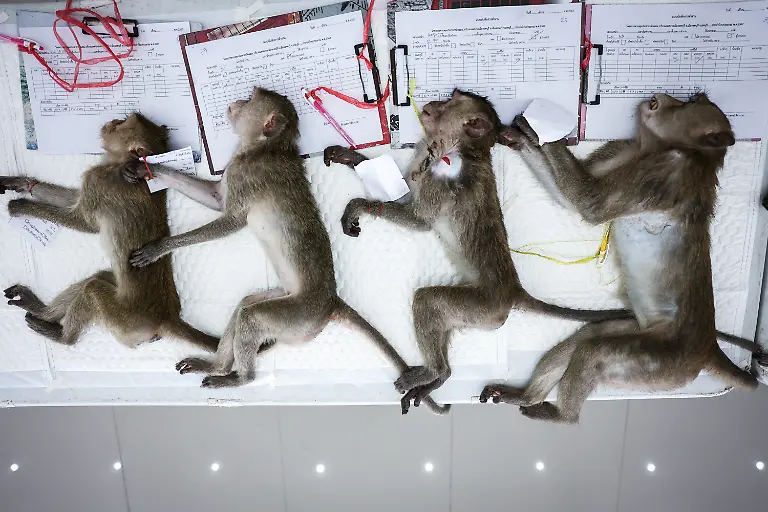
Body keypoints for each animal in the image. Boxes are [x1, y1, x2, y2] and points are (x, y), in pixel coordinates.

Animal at [1, 113, 218, 352]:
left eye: (123, 123)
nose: (111, 122)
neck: (120, 162)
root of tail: (166, 318)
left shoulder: (98, 180)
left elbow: (84, 223)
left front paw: (22, 208)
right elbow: (73, 199)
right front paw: (23, 184)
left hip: (125, 321)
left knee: (92, 288)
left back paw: (62, 336)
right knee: (98, 277)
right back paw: (42, 311)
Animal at [122, 87, 450, 415]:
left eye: (251, 99)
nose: (236, 102)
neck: (264, 148)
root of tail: (331, 302)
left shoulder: (246, 177)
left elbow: (230, 221)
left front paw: (158, 248)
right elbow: (214, 197)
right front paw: (145, 168)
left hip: (299, 317)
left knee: (252, 317)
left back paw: (239, 378)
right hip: (286, 299)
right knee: (245, 305)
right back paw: (217, 366)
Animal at [323, 89, 633, 415]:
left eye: (450, 102)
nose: (433, 104)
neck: (458, 148)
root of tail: (513, 290)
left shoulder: (440, 179)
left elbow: (419, 220)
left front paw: (358, 205)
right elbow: (403, 190)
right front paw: (350, 158)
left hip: (484, 308)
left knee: (428, 300)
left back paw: (434, 371)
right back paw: (440, 376)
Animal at [480, 92, 763, 423]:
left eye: (687, 104)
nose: (661, 97)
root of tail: (708, 349)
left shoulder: (667, 172)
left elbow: (589, 203)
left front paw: (537, 131)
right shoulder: (626, 149)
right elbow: (570, 200)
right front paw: (522, 138)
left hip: (664, 360)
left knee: (596, 352)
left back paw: (562, 415)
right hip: (638, 329)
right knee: (591, 335)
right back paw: (527, 395)